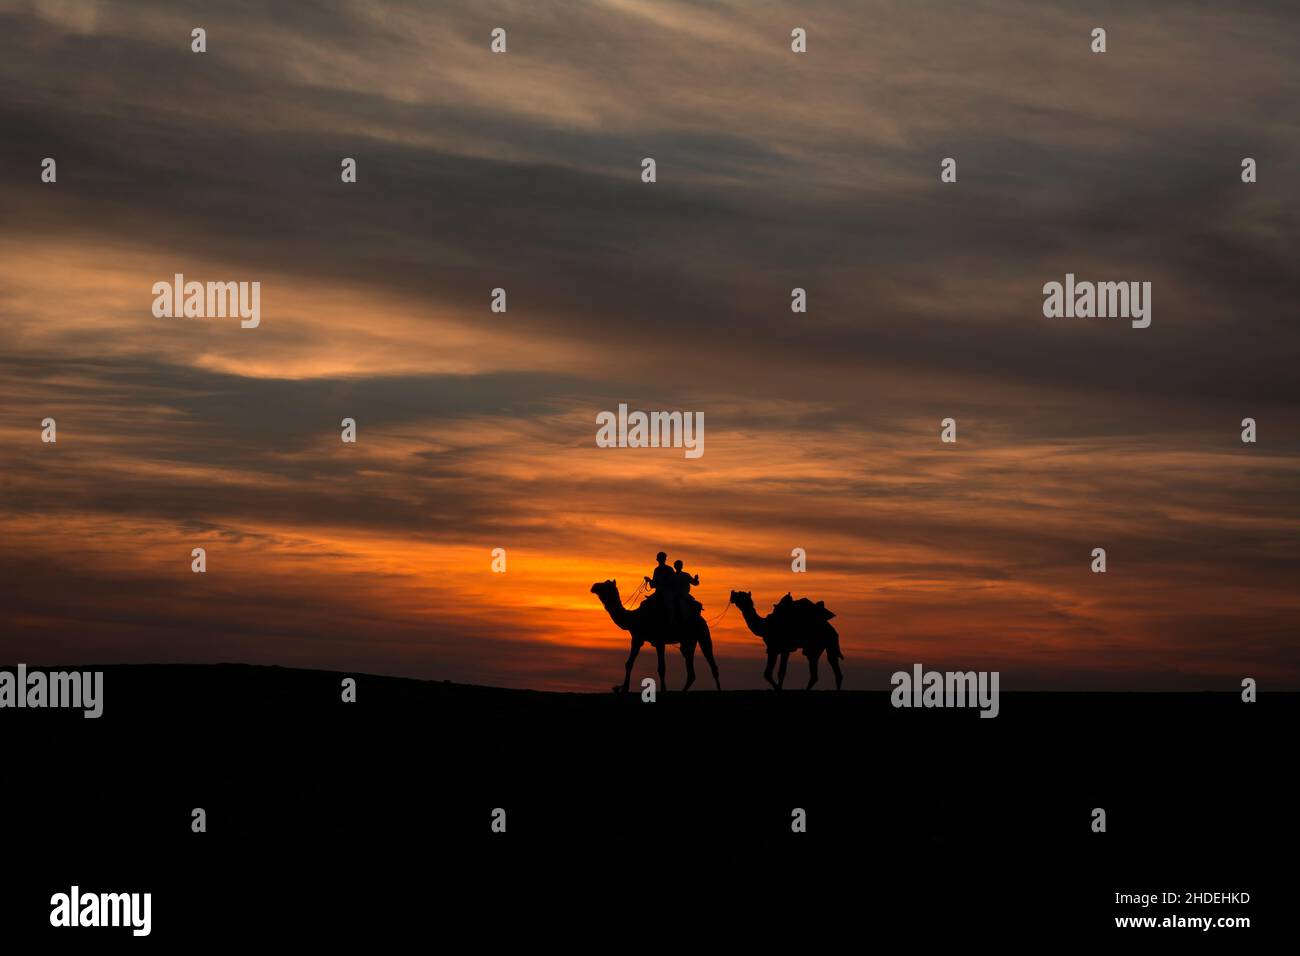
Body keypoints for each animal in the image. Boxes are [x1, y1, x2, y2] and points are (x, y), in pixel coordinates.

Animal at [590, 580, 722, 691]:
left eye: (606, 585)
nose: (594, 586)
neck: (635, 618)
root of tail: (701, 618)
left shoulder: (659, 641)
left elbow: (661, 668)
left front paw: (663, 690)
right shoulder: (637, 639)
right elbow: (629, 663)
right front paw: (624, 689)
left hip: (703, 635)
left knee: (712, 663)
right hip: (688, 641)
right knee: (691, 671)